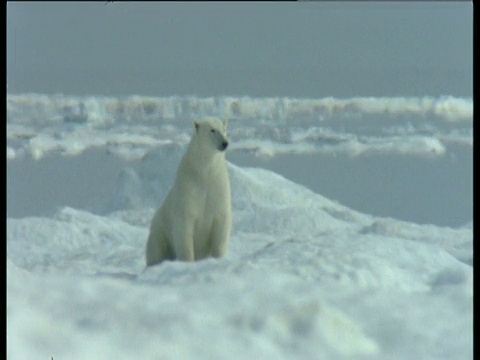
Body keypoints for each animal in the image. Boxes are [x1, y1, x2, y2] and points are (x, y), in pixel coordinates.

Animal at [146, 116, 232, 266]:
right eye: (212, 130)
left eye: (223, 129)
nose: (224, 143)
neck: (204, 172)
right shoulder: (188, 190)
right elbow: (184, 227)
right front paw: (188, 262)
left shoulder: (218, 186)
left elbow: (222, 221)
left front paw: (218, 258)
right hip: (160, 231)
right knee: (156, 249)